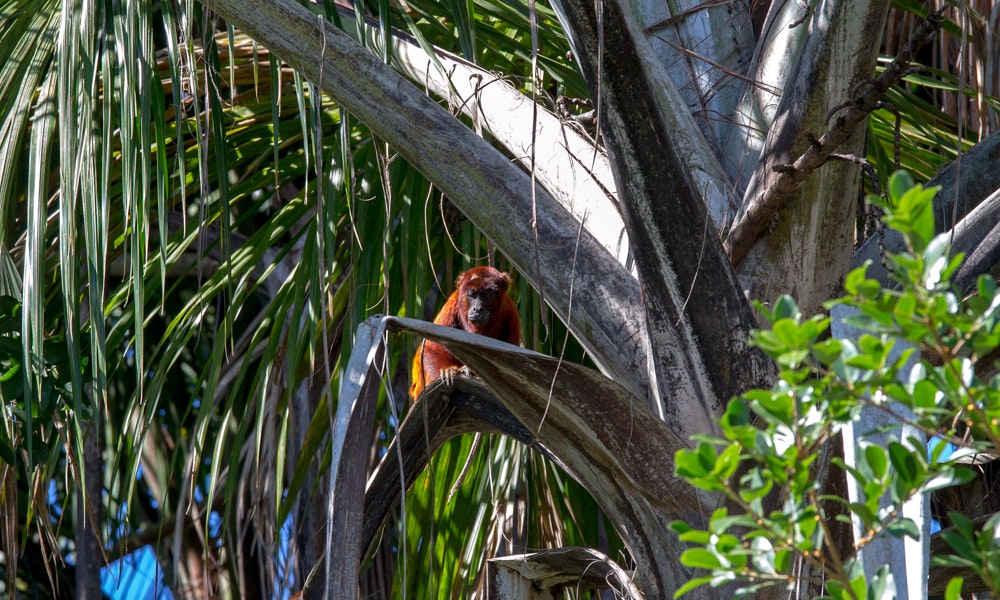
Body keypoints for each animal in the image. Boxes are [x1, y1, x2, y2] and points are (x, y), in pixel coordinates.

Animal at [409, 266, 521, 399]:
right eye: (471, 295)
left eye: (488, 295)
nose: (477, 309)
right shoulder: (454, 300)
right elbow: (431, 346)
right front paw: (448, 371)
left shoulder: (511, 311)